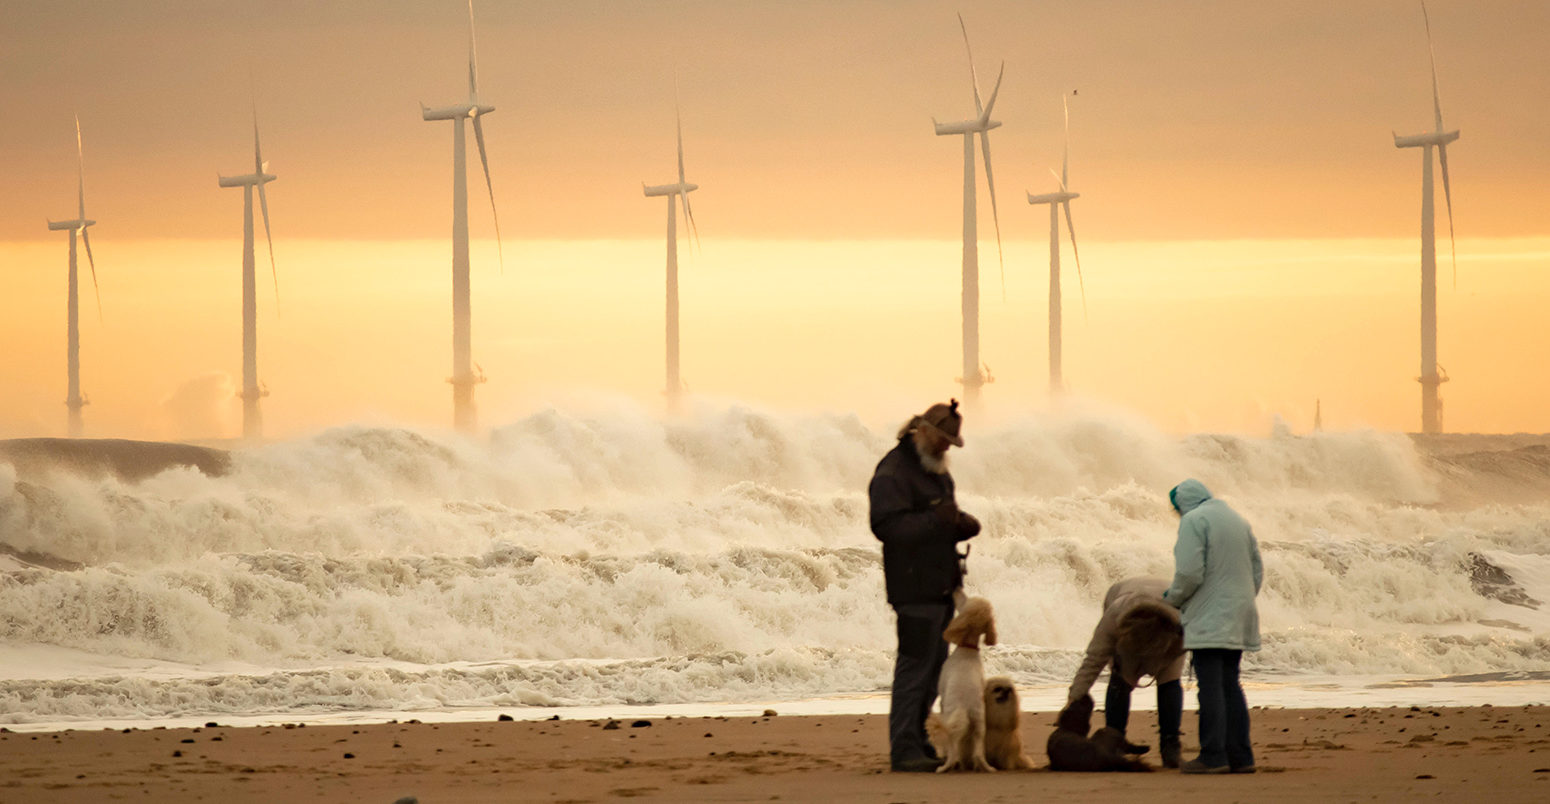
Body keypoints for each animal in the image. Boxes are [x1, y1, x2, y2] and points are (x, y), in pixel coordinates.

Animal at [923, 597, 998, 774]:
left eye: (965, 601)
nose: (956, 592)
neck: (967, 649)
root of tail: (966, 707)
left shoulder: (943, 697)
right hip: (979, 725)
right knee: (978, 754)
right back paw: (987, 767)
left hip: (952, 718)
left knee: (953, 753)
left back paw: (944, 766)